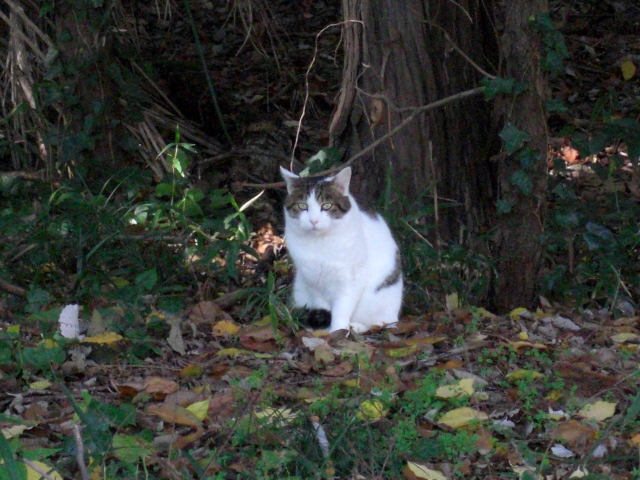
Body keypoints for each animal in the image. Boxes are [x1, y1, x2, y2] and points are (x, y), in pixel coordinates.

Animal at [280, 166, 403, 333]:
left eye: (326, 206)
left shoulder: (351, 279)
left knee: (382, 322)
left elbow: (342, 309)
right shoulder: (312, 279)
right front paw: (326, 329)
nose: (313, 220)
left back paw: (356, 326)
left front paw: (338, 331)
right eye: (302, 206)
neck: (319, 244)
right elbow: (322, 306)